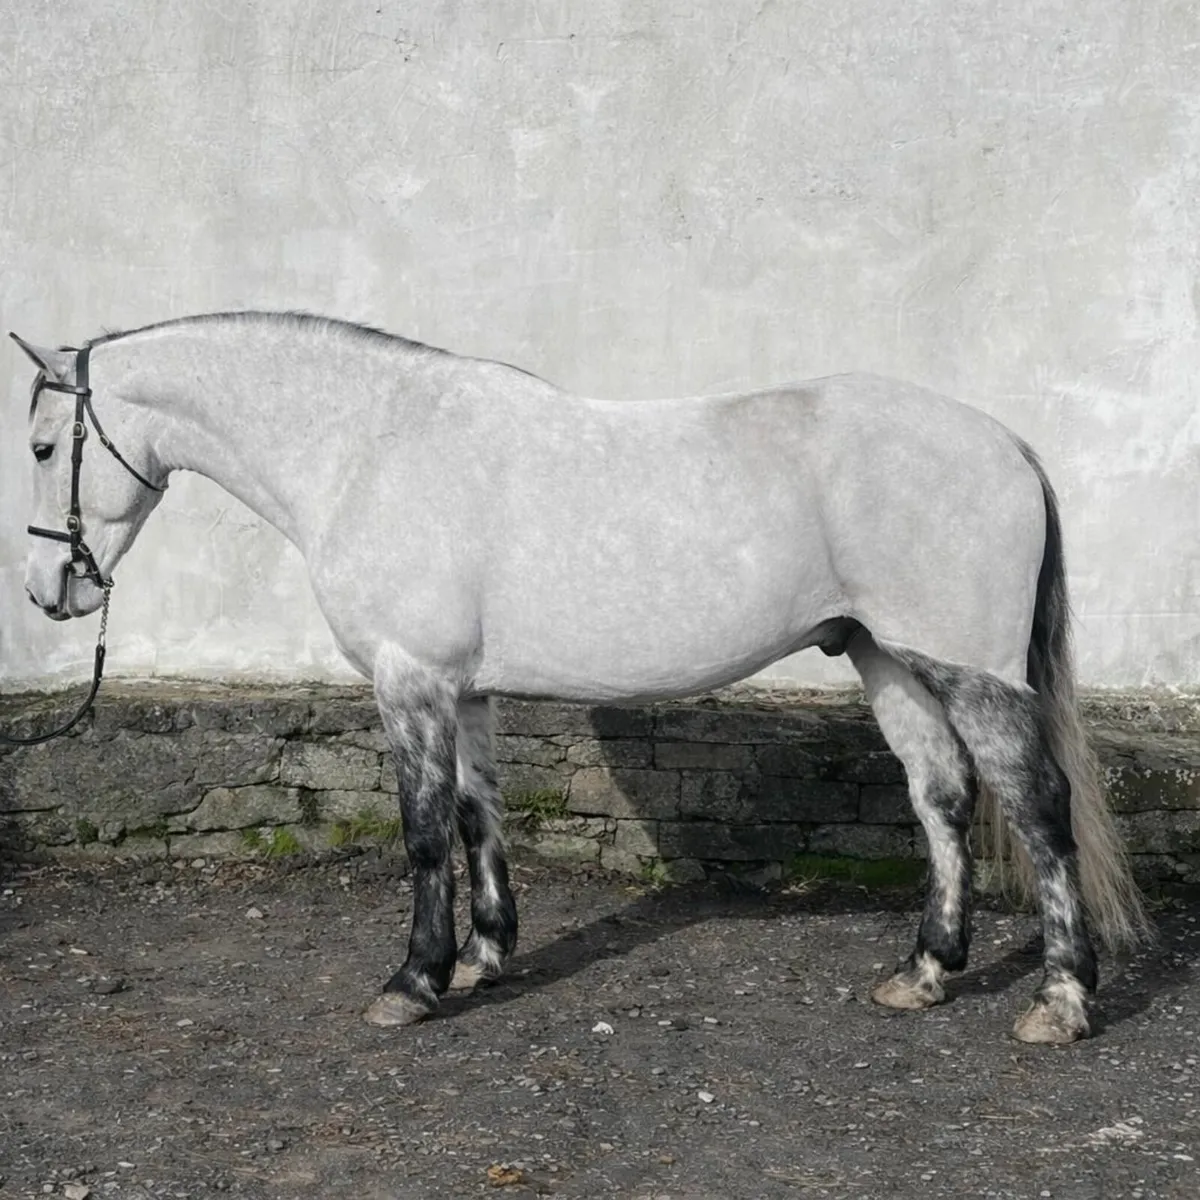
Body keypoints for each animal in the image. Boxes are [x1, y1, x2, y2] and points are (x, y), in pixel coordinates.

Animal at [10, 311, 1147, 1045]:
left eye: (39, 446)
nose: (49, 590)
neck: (372, 446)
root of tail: (1005, 443)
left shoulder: (410, 681)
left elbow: (422, 832)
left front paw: (413, 982)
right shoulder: (463, 690)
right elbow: (478, 815)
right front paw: (484, 956)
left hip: (969, 670)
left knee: (1039, 810)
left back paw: (1060, 1003)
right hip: (886, 659)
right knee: (942, 800)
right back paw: (925, 973)